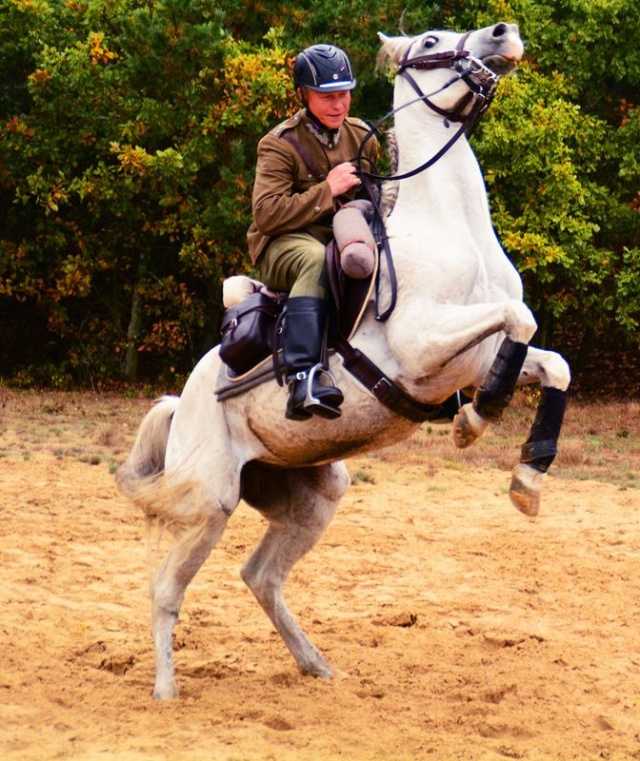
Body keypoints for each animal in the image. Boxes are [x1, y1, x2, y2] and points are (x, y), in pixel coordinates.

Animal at [119, 22, 568, 700]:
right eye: (431, 39)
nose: (502, 34)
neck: (451, 231)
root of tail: (183, 403)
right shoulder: (423, 347)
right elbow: (520, 320)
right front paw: (476, 420)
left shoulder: (477, 356)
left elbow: (550, 360)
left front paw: (527, 479)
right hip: (211, 504)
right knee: (165, 590)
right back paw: (167, 691)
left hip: (314, 494)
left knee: (260, 576)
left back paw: (318, 666)